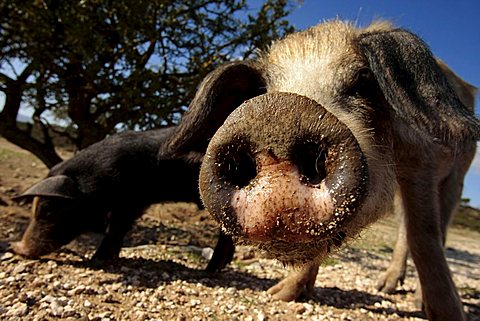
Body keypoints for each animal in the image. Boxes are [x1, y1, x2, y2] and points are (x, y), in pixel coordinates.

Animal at [158, 20, 480, 320]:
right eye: (262, 91)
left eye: (363, 83)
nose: (276, 115)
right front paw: (278, 295)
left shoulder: (422, 161)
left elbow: (424, 235)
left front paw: (449, 315)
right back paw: (384, 287)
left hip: (458, 174)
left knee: (437, 226)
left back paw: (408, 297)